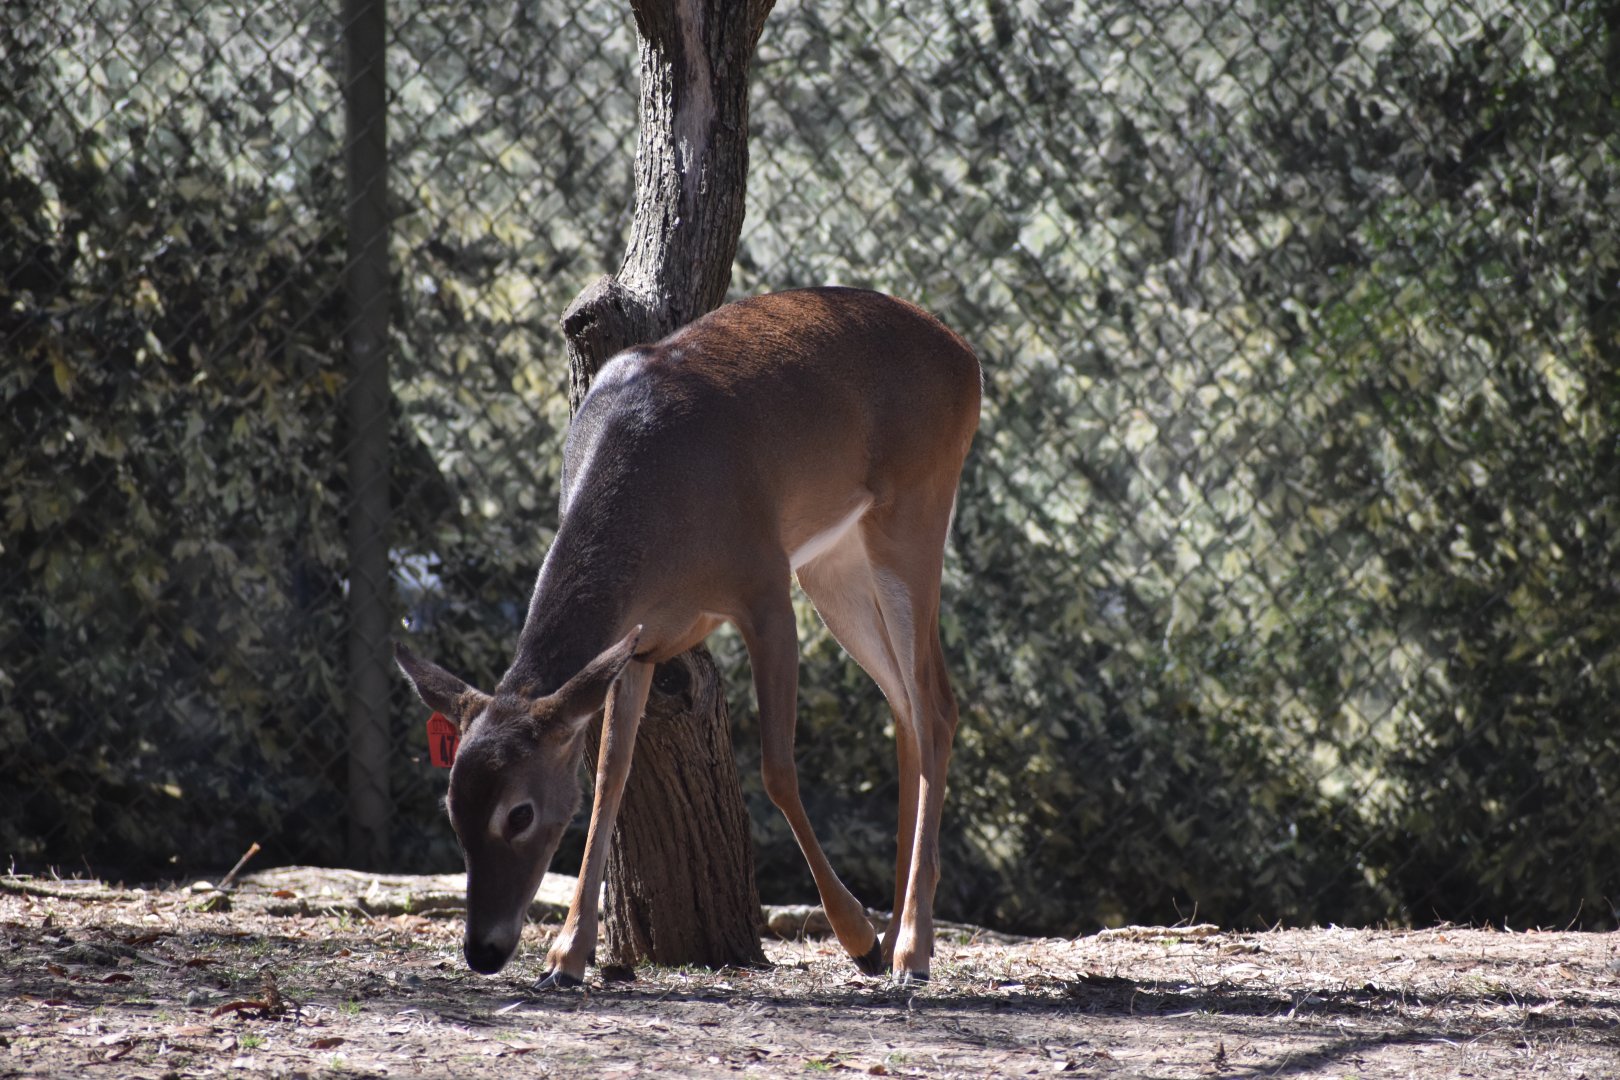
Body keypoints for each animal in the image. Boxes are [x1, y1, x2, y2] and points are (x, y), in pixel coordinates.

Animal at [394, 286, 981, 986]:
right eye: (453, 809)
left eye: (519, 813)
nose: (483, 950)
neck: (660, 502)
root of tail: (967, 358)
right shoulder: (638, 643)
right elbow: (608, 779)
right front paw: (566, 956)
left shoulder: (763, 583)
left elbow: (777, 769)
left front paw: (855, 936)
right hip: (833, 560)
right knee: (904, 707)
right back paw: (900, 935)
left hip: (914, 508)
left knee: (936, 704)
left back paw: (907, 948)